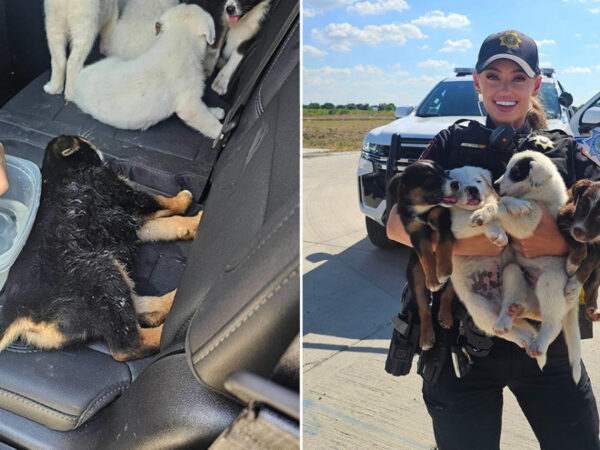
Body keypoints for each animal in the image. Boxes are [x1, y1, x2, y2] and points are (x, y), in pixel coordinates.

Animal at [0, 134, 202, 362]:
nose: (88, 138)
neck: (59, 171)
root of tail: (18, 310)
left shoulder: (130, 222)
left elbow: (170, 224)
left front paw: (194, 223)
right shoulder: (122, 193)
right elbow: (162, 202)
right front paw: (184, 200)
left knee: (134, 307)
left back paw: (172, 301)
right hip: (103, 273)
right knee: (127, 345)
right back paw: (171, 332)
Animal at [74, 3, 224, 139]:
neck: (179, 40)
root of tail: (77, 81)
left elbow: (206, 109)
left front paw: (216, 112)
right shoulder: (189, 105)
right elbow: (207, 121)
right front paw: (221, 132)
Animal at [386, 160, 458, 350]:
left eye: (445, 172)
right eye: (430, 179)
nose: (456, 183)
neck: (423, 210)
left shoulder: (443, 219)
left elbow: (442, 244)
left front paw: (442, 270)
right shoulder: (415, 232)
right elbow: (425, 255)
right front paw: (433, 280)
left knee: (447, 294)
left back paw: (445, 316)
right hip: (414, 275)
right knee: (423, 308)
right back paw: (426, 337)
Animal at [468, 150, 580, 380]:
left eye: (516, 172)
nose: (496, 185)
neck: (536, 193)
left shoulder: (531, 222)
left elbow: (502, 204)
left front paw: (486, 211)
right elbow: (504, 202)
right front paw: (493, 209)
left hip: (550, 281)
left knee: (553, 323)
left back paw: (540, 342)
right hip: (512, 272)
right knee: (515, 299)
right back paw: (507, 316)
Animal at [556, 180, 600, 324]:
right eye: (580, 207)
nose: (578, 231)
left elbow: (589, 263)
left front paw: (574, 287)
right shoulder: (564, 218)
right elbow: (580, 246)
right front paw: (572, 265)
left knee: (593, 284)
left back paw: (593, 311)